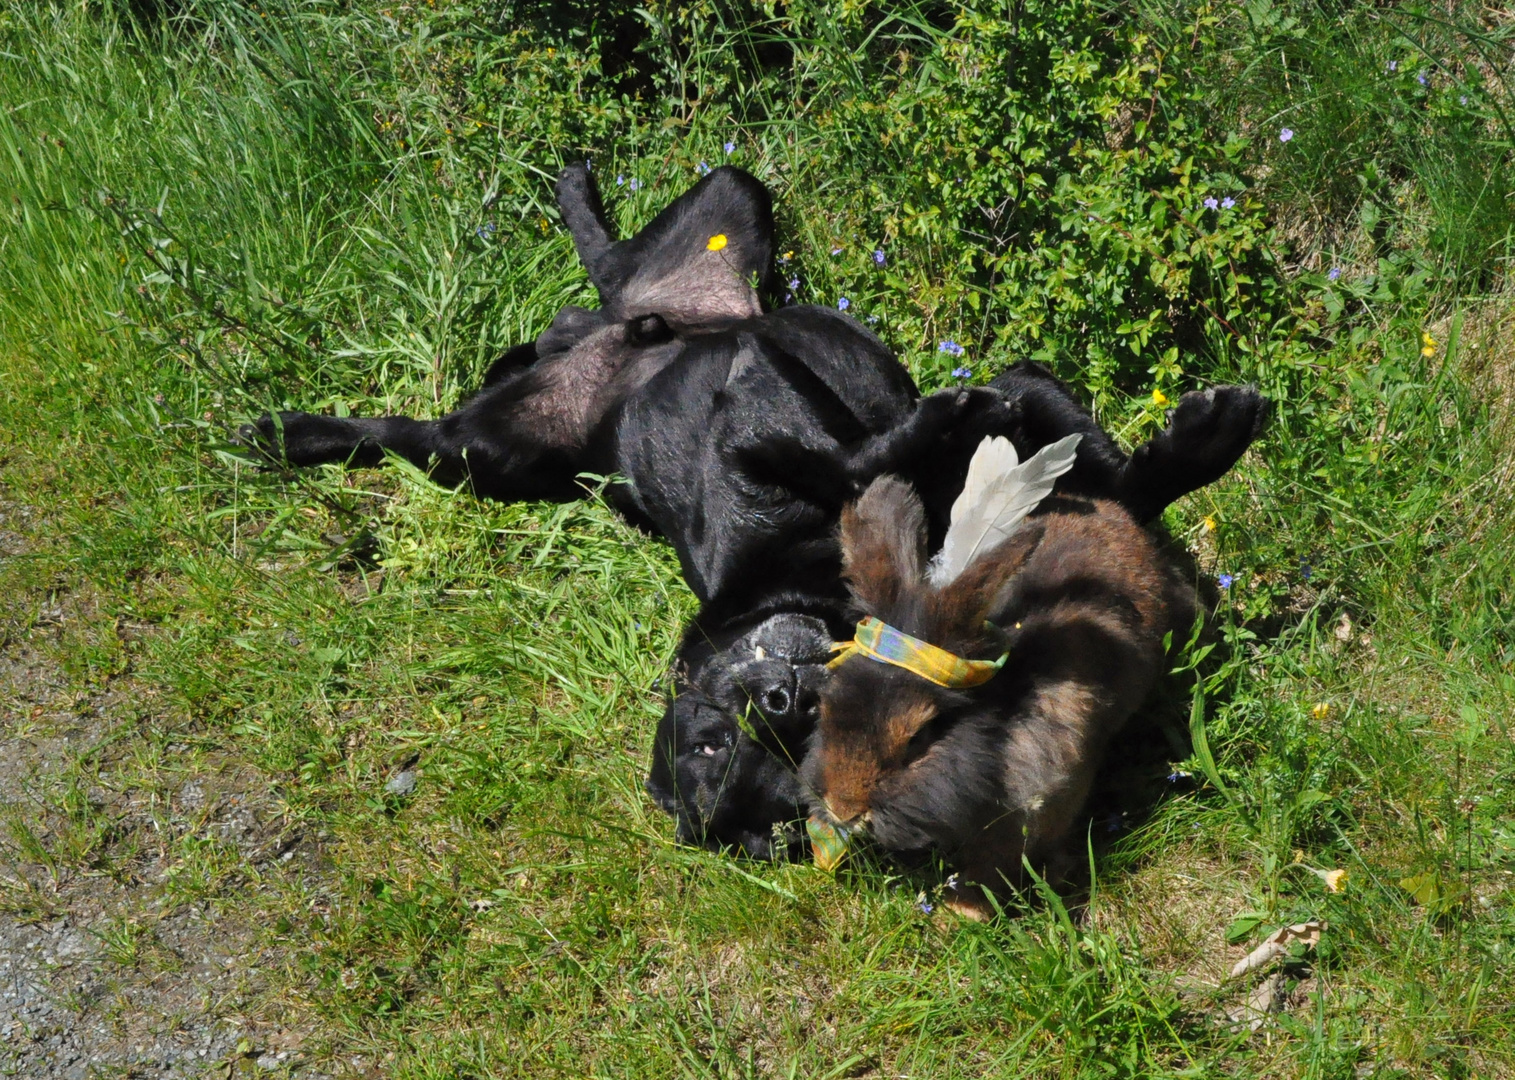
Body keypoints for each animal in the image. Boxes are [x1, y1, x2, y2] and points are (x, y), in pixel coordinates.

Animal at [245, 162, 1266, 848]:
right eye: (767, 779)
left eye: (705, 744)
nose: (780, 700)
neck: (813, 589)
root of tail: (579, 350)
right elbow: (895, 462)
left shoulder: (756, 383)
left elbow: (1042, 453)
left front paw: (1188, 443)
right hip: (487, 456)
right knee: (408, 430)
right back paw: (299, 434)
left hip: (723, 213)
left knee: (616, 262)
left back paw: (574, 191)